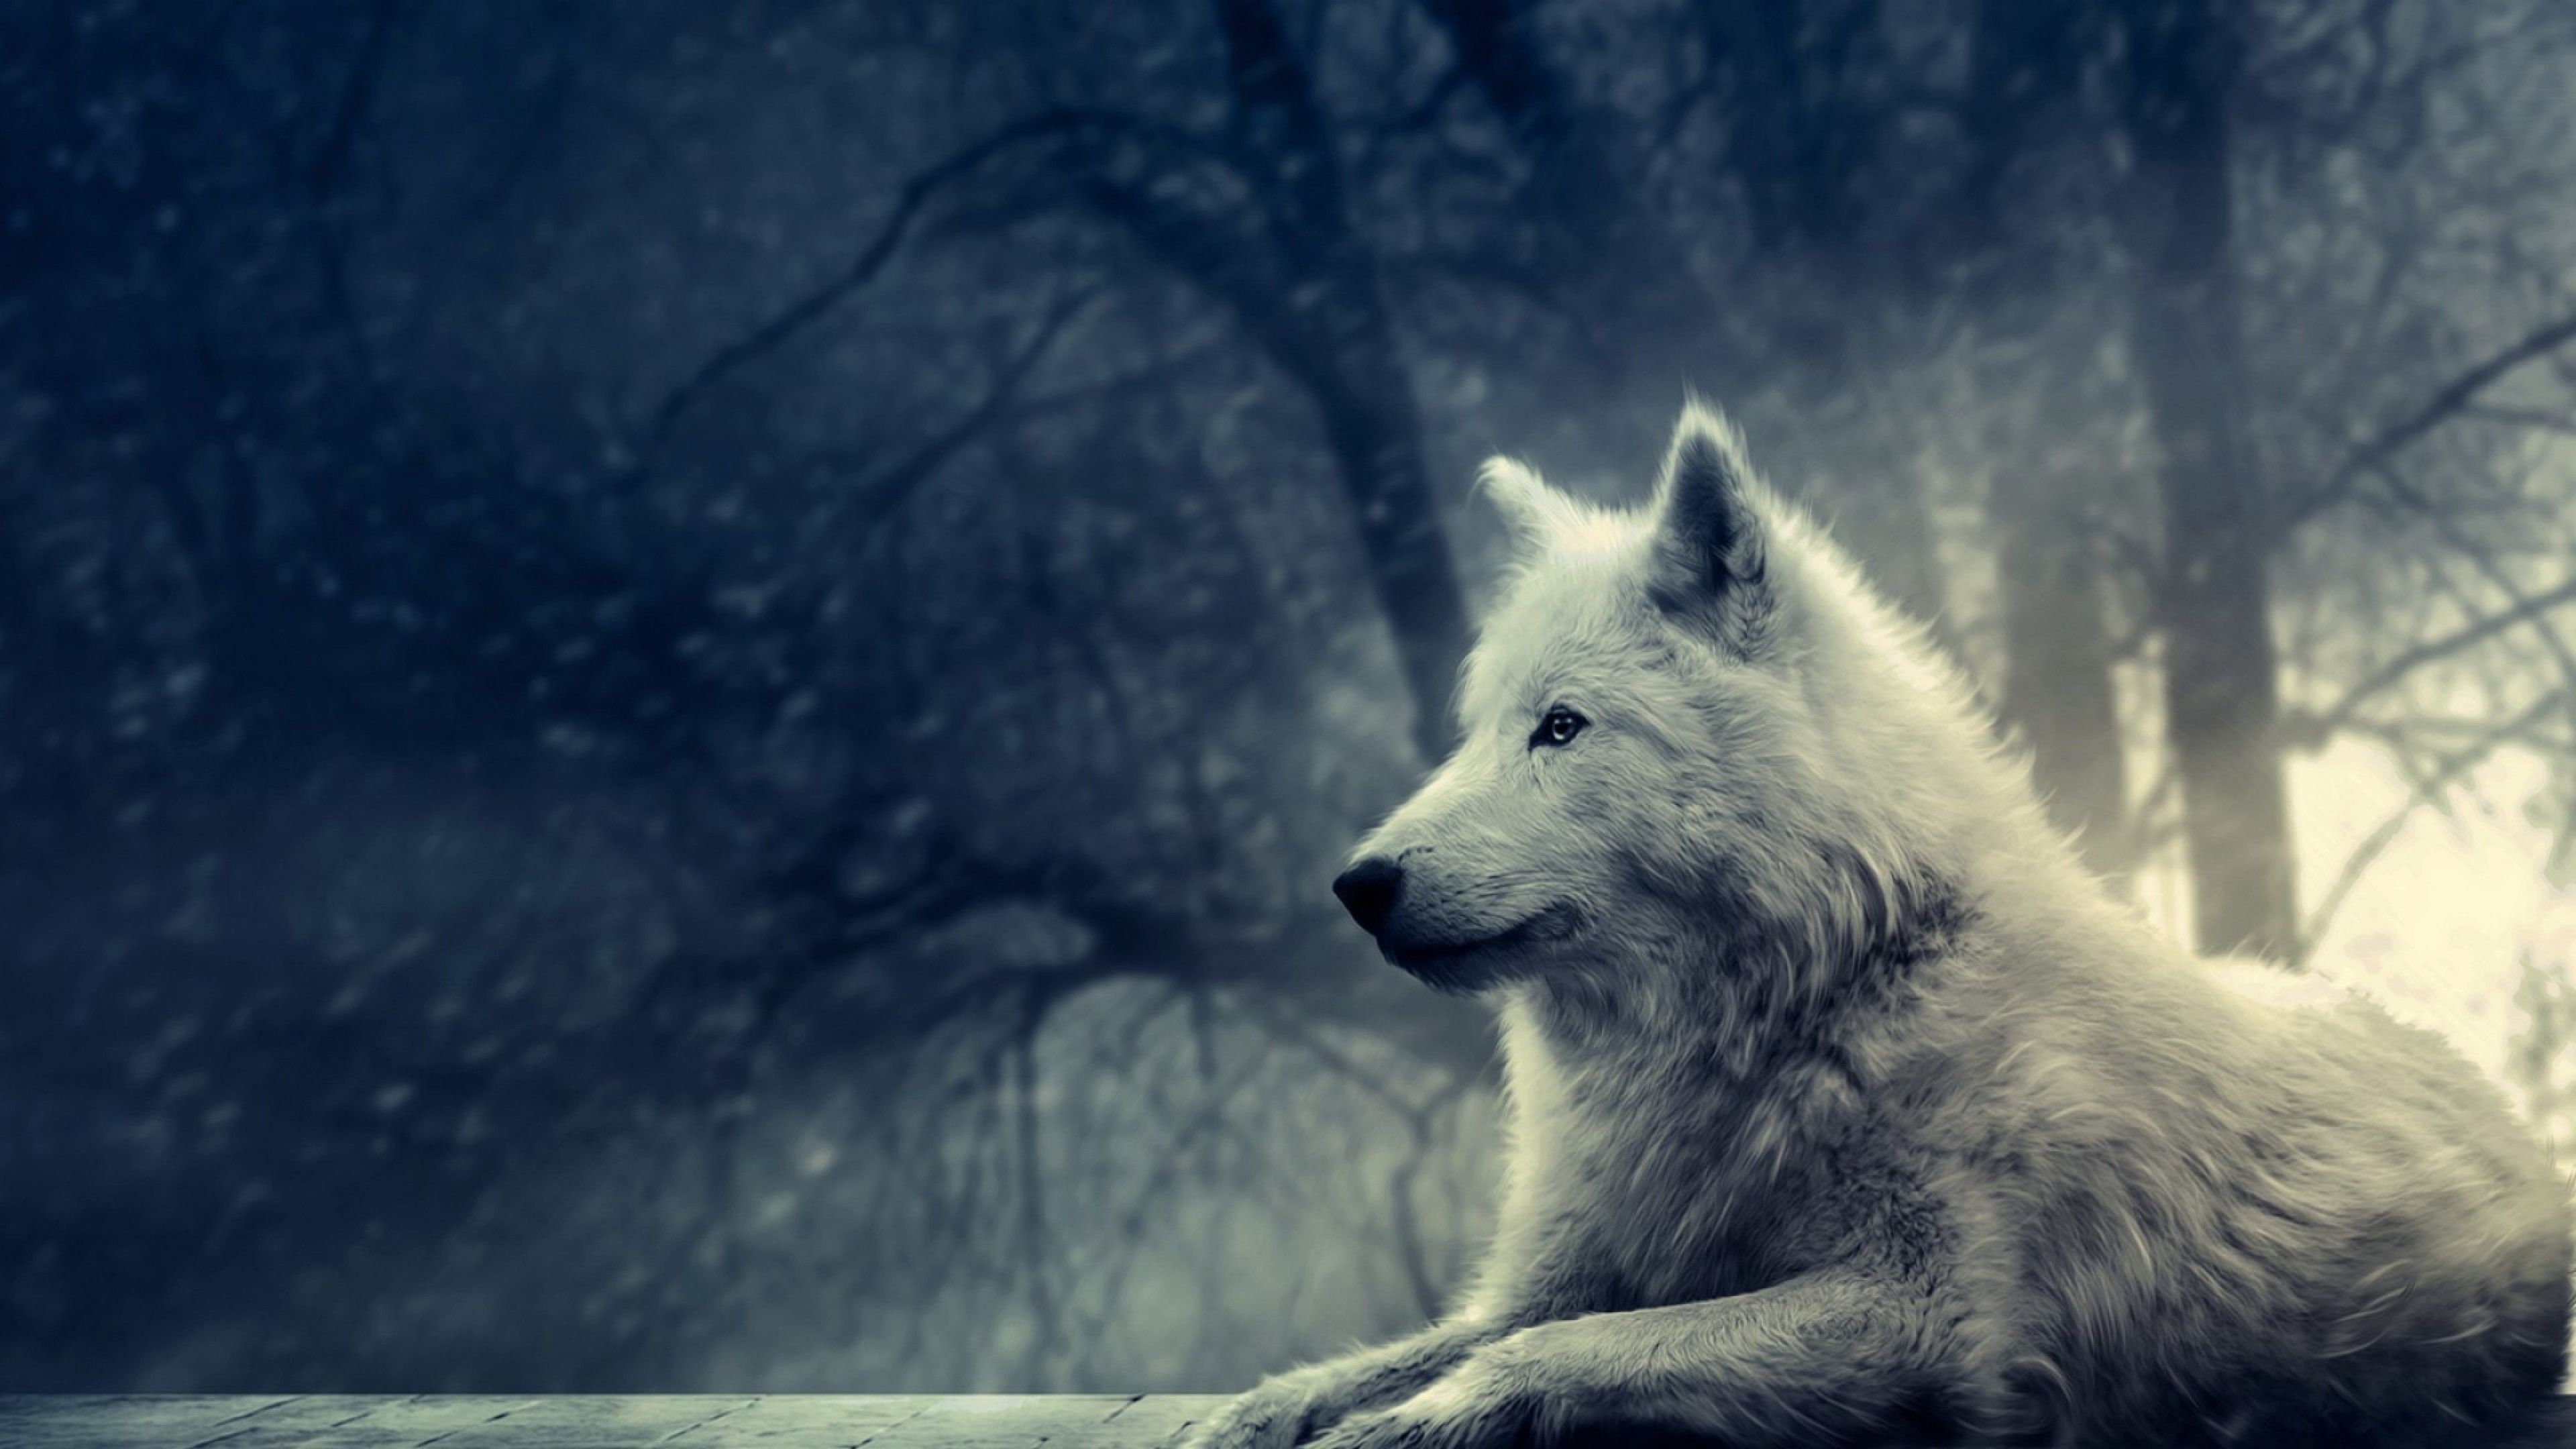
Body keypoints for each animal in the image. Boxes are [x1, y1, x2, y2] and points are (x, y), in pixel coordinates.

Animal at [1185, 407, 2571, 1448]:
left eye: (1562, 727)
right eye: (1476, 731)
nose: (1357, 884)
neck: (1821, 992)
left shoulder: (1924, 1318)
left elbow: (1560, 1351)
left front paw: (1412, 1423)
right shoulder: (1556, 1270)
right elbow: (1398, 1354)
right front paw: (1258, 1414)